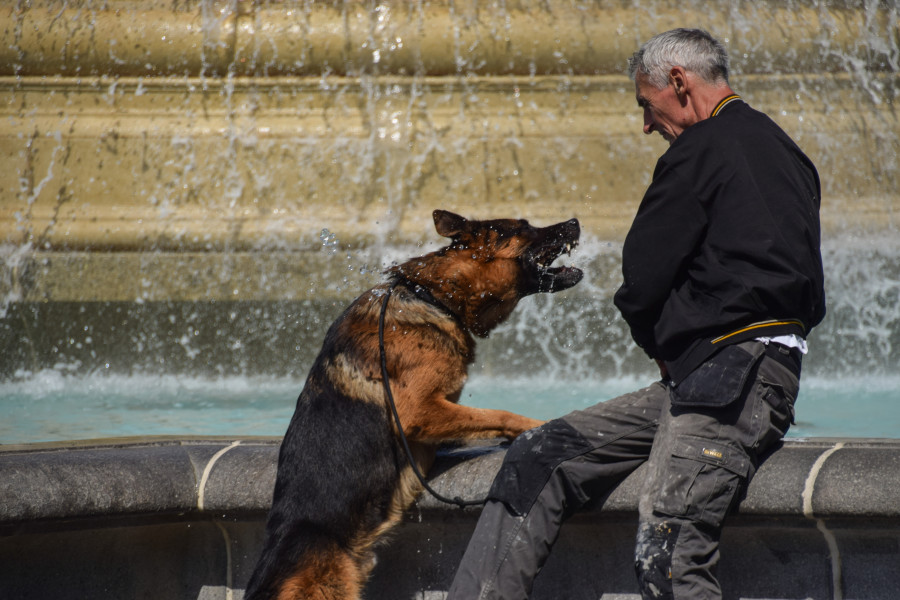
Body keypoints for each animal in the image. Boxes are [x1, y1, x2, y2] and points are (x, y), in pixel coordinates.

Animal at [246, 209, 584, 596]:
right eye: (525, 227)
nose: (575, 221)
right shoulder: (417, 411)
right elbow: (498, 413)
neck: (434, 296)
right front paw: (541, 425)